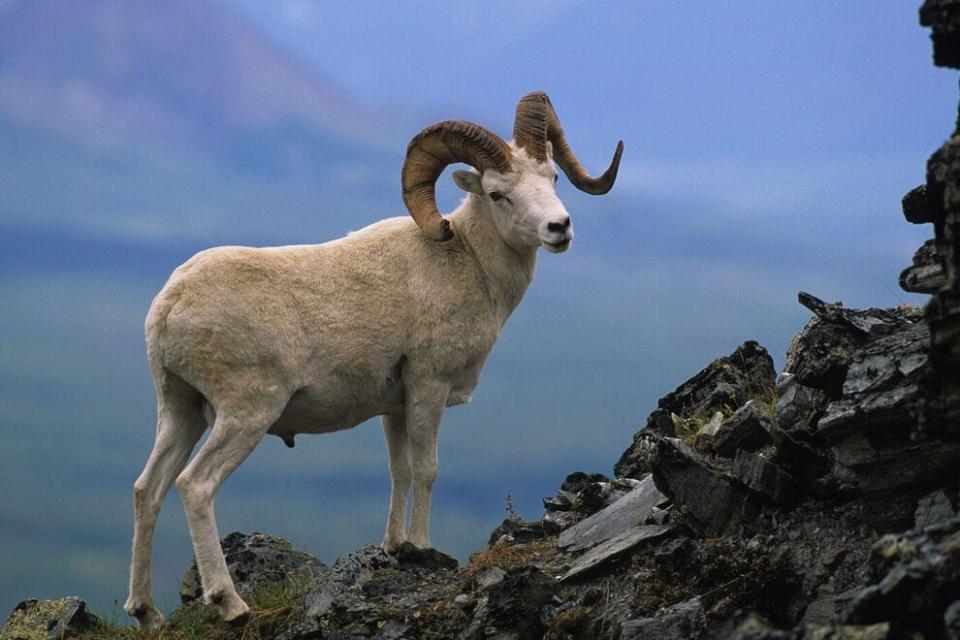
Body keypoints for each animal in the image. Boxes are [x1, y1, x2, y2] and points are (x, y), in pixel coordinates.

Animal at [124, 92, 620, 628]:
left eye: (551, 178)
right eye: (497, 194)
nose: (559, 228)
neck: (467, 262)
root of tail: (168, 306)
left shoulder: (394, 406)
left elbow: (399, 471)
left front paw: (395, 546)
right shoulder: (428, 388)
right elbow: (426, 469)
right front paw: (422, 548)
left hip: (181, 412)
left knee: (148, 489)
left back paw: (147, 613)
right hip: (245, 415)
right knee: (195, 485)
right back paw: (231, 604)